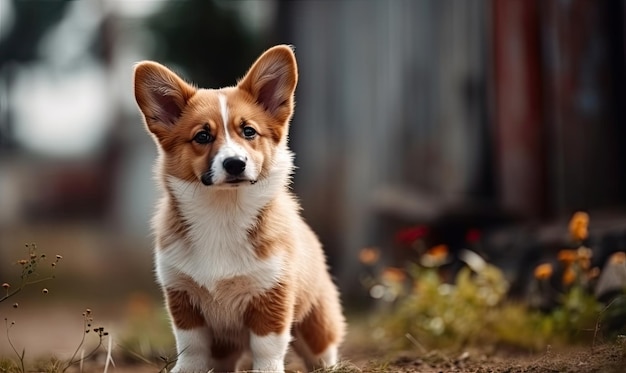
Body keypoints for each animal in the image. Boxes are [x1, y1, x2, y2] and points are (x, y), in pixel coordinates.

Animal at [133, 44, 344, 372]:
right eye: (202, 136)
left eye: (248, 132)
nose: (234, 164)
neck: (224, 210)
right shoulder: (182, 296)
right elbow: (191, 346)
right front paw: (186, 369)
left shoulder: (272, 294)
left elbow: (267, 347)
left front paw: (267, 369)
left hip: (316, 323)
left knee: (324, 351)